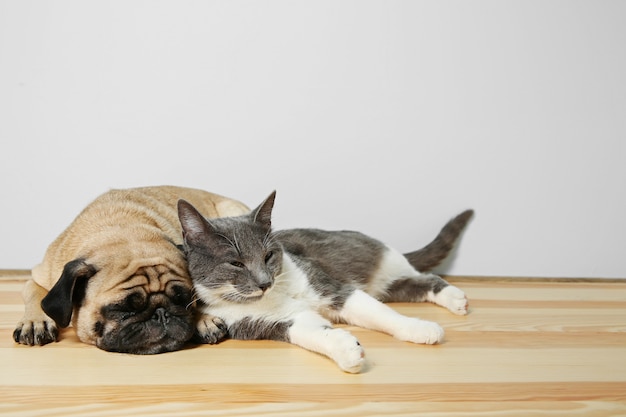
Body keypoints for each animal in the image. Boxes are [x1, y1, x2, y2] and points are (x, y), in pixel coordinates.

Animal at [13, 187, 247, 352]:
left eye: (182, 300)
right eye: (123, 309)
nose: (161, 314)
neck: (122, 230)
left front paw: (203, 319)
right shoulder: (39, 276)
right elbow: (35, 293)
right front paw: (34, 321)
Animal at [178, 193, 470, 372]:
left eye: (268, 255)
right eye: (236, 263)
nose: (264, 282)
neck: (276, 294)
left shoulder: (331, 286)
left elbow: (380, 314)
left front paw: (418, 328)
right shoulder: (263, 322)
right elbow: (310, 331)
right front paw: (347, 351)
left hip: (380, 263)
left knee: (426, 277)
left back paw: (456, 299)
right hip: (387, 286)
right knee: (410, 284)